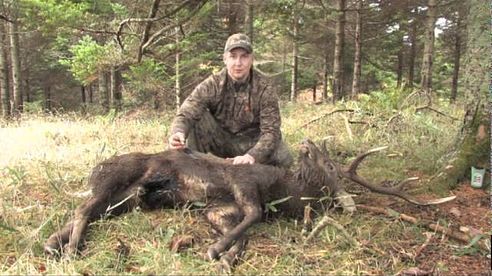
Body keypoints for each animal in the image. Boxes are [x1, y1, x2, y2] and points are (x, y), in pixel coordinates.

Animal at [45, 140, 454, 270]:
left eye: (329, 166)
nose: (309, 142)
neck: (281, 192)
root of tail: (97, 168)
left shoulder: (219, 208)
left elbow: (244, 231)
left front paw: (226, 255)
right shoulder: (243, 185)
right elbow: (253, 217)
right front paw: (215, 250)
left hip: (128, 199)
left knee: (90, 212)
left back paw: (54, 243)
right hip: (118, 177)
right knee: (84, 209)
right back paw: (69, 249)